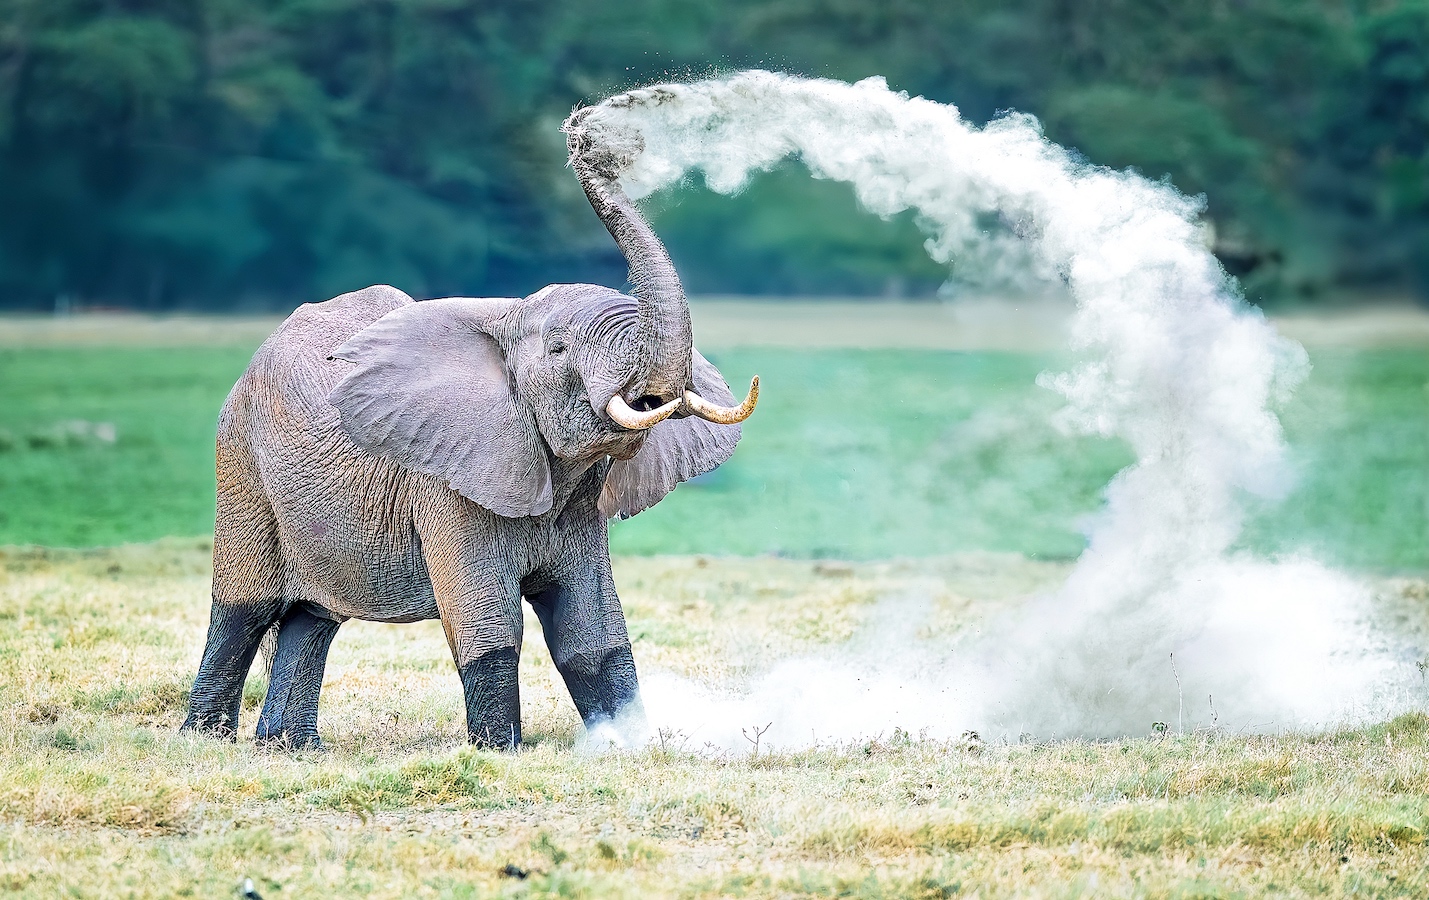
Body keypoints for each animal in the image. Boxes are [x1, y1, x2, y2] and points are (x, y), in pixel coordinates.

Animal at [178, 105, 760, 754]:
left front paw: (624, 744)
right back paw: (203, 741)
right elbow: (488, 624)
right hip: (241, 461)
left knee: (313, 618)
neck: (507, 313)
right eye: (559, 351)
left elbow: (593, 628)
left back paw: (293, 750)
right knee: (243, 609)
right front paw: (500, 753)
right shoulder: (448, 482)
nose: (579, 129)